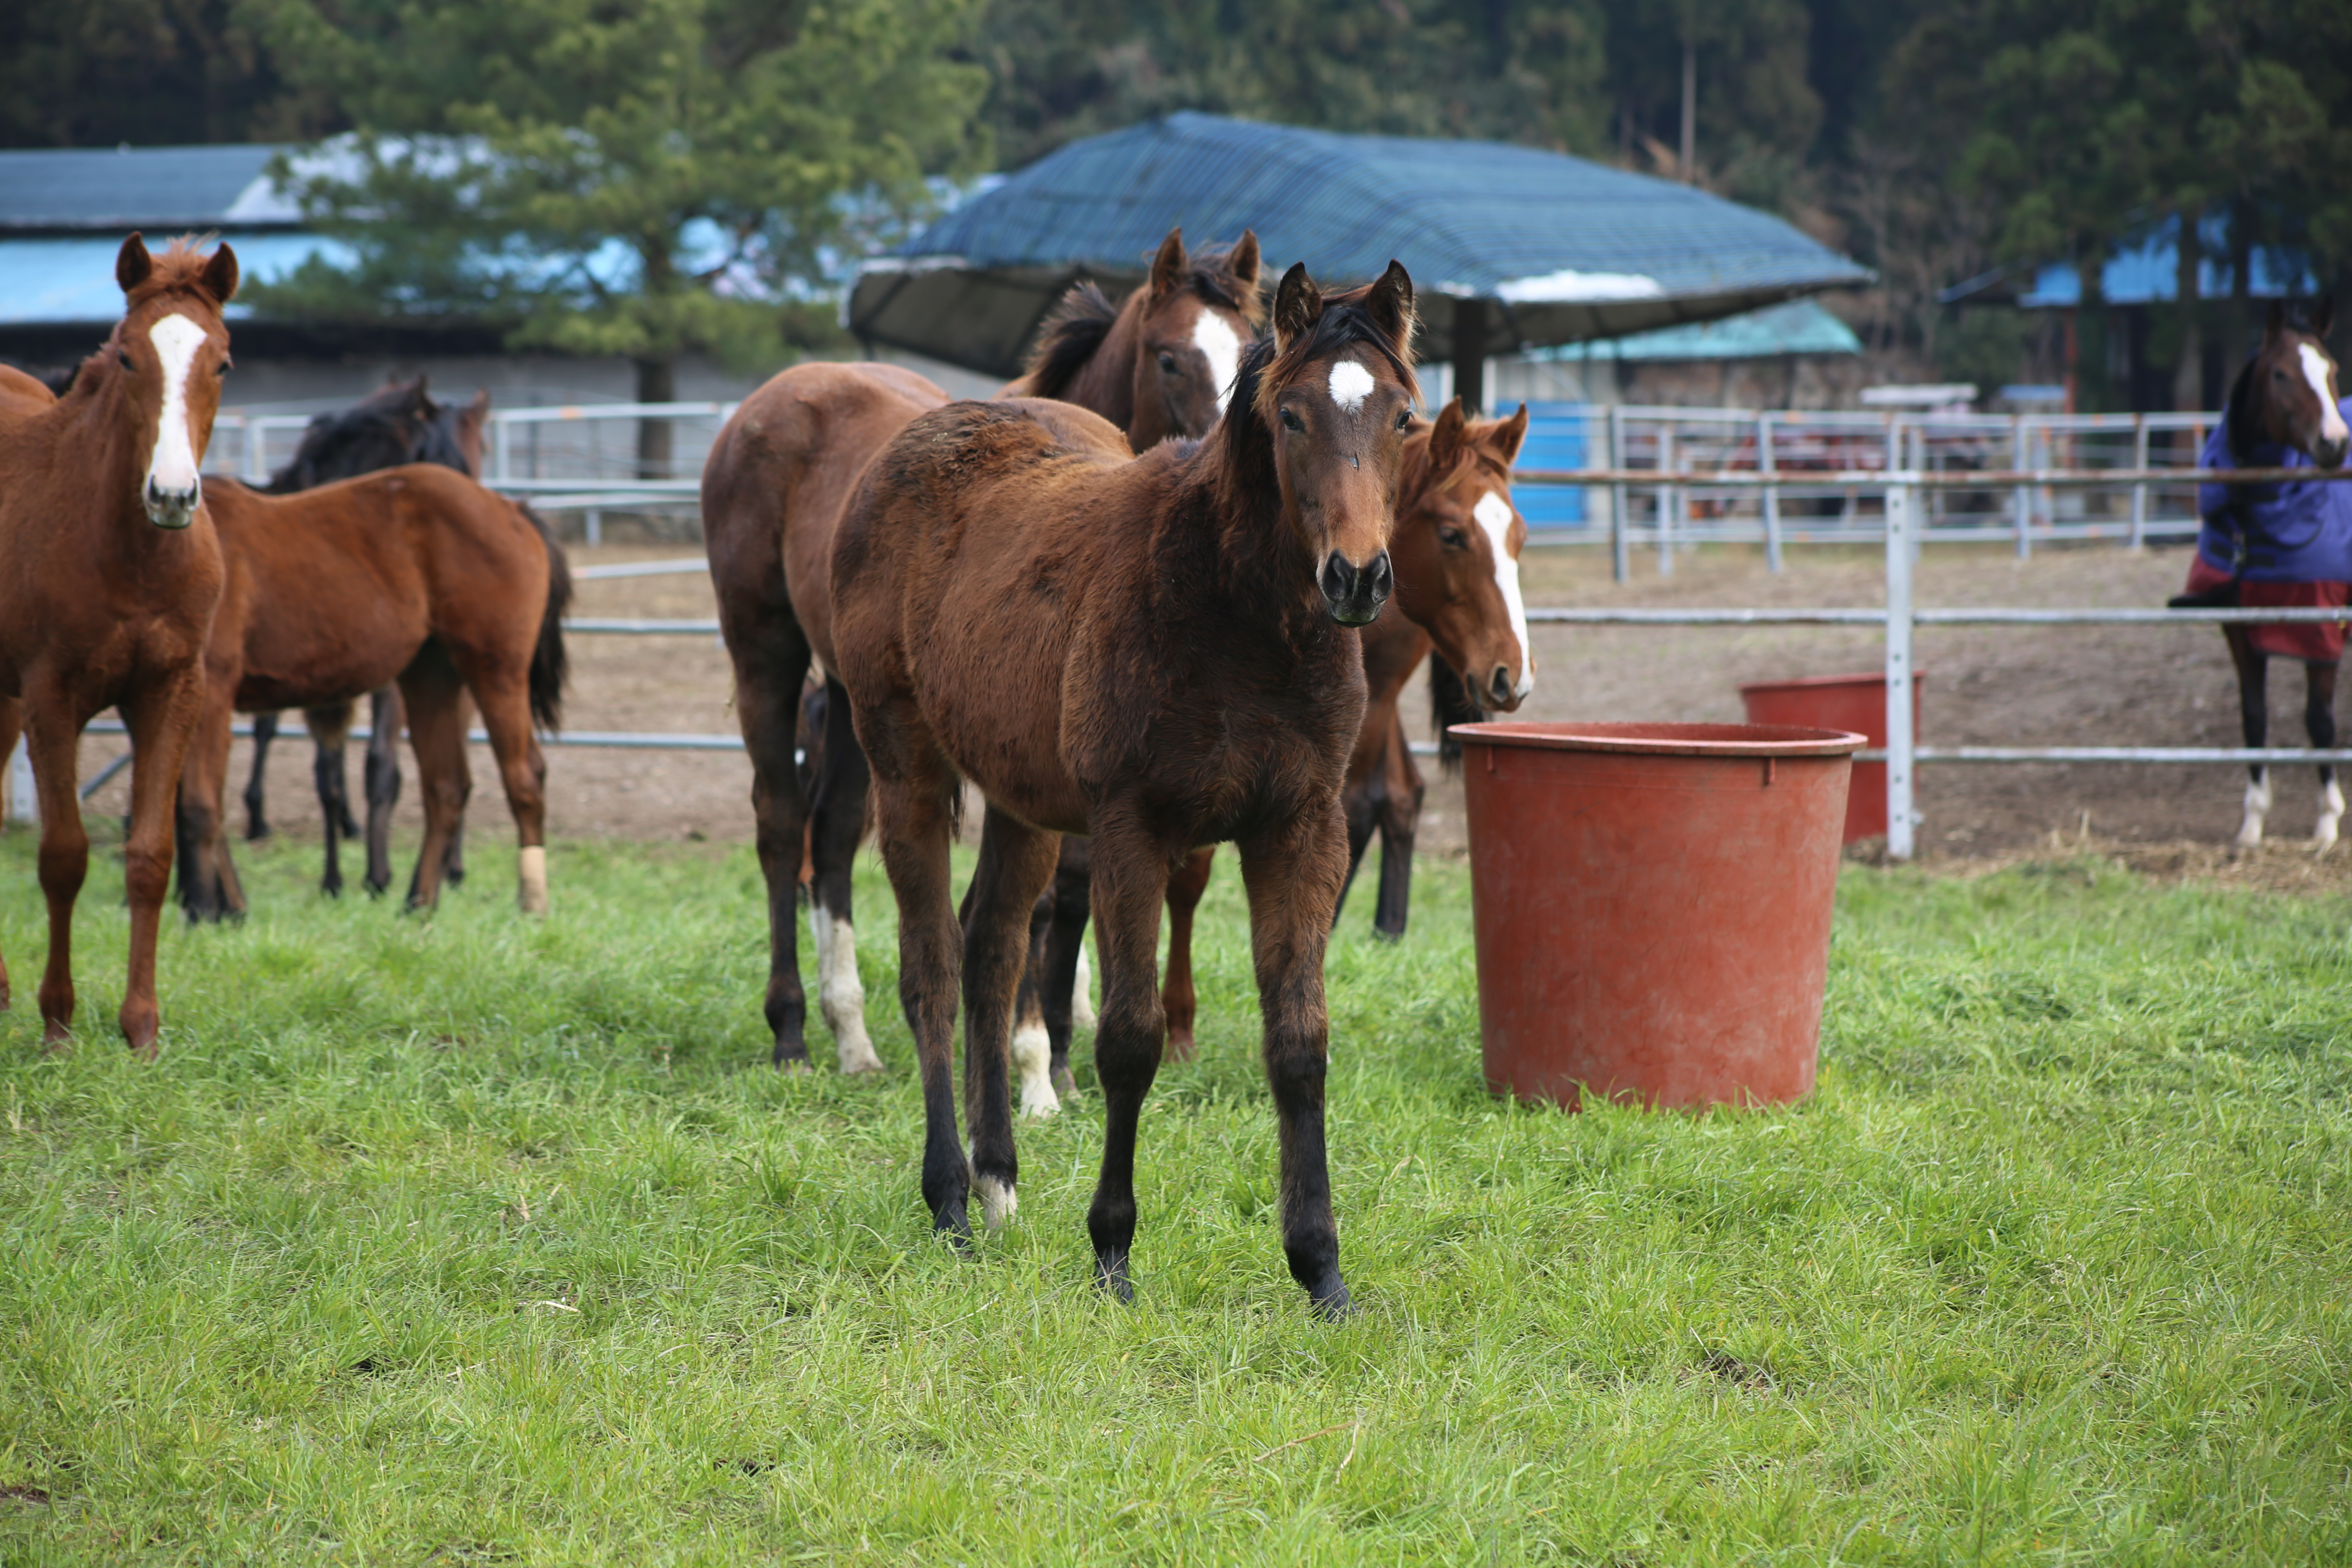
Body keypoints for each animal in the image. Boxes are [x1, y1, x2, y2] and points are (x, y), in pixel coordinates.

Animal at [0, 232, 238, 1062]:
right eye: (130, 357)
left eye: (222, 362)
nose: (172, 495)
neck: (132, 555)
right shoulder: (51, 697)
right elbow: (64, 857)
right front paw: (58, 1023)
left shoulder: (171, 690)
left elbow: (149, 857)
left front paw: (141, 1028)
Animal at [174, 465, 569, 921]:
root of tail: (511, 509)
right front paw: (227, 908)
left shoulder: (213, 693)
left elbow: (199, 805)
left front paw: (204, 910)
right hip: (430, 677)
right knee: (446, 786)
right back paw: (418, 905)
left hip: (496, 672)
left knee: (524, 777)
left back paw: (532, 903)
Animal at [828, 261, 1411, 1316]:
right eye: (1291, 415)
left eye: (1402, 414)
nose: (1356, 578)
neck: (1237, 615)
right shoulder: (1132, 829)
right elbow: (1129, 1038)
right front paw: (1112, 1252)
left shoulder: (1301, 826)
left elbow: (1299, 1039)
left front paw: (1320, 1268)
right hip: (904, 768)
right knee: (933, 967)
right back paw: (949, 1200)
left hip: (1021, 801)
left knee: (991, 953)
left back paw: (999, 1184)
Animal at [1016, 399, 1543, 1105]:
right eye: (1455, 535)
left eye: (1520, 537)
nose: (1512, 673)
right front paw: (1053, 1059)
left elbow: (1189, 883)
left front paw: (1179, 1030)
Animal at [2173, 301, 2342, 851]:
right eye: (2281, 373)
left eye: (2332, 370)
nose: (2335, 444)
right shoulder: (2241, 630)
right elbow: (2254, 718)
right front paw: (2252, 823)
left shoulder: (2323, 630)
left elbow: (2319, 720)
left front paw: (2328, 820)